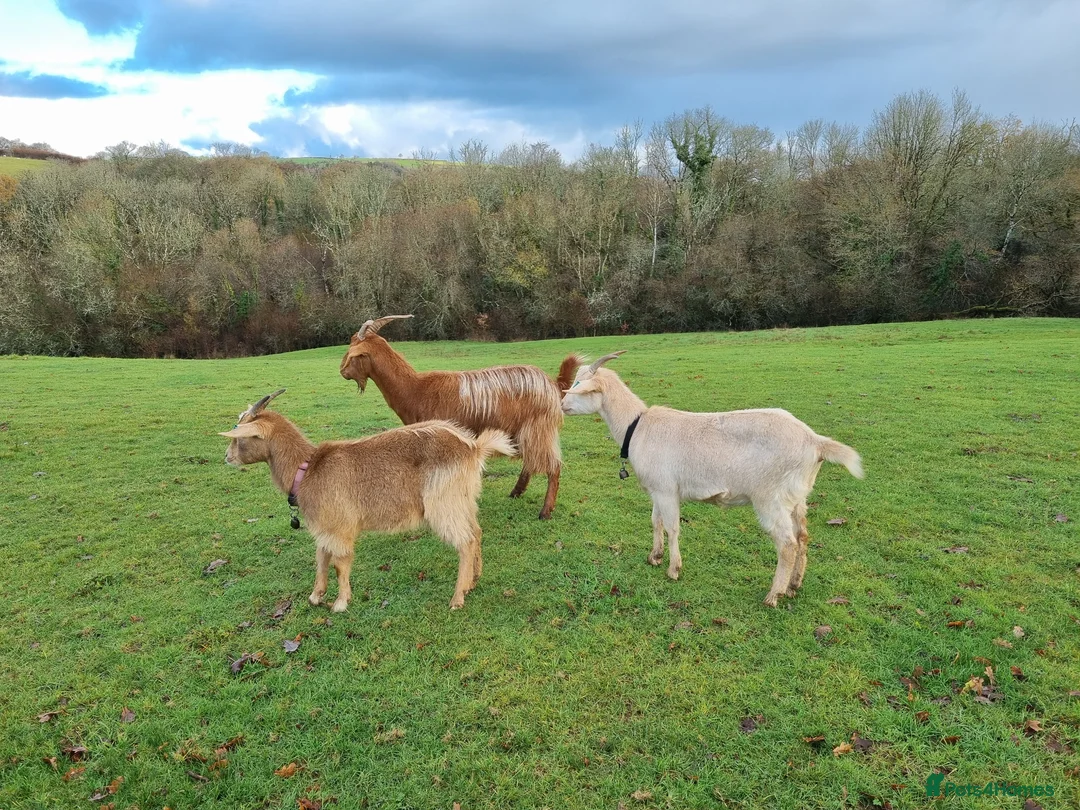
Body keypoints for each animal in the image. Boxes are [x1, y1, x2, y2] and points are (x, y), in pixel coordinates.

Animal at [220, 389, 515, 611]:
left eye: (241, 434)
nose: (226, 457)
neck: (308, 468)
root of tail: (473, 448)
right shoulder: (324, 529)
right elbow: (321, 559)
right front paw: (315, 596)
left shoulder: (340, 527)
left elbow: (340, 563)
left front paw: (340, 603)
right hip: (464, 500)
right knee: (476, 531)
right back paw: (473, 581)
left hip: (443, 504)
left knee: (465, 541)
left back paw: (457, 598)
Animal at [339, 315, 580, 520]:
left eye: (353, 350)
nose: (342, 371)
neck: (416, 389)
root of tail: (553, 383)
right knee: (531, 462)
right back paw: (516, 492)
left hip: (538, 429)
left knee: (553, 466)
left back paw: (545, 511)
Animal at [561, 353, 864, 607]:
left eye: (579, 384)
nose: (562, 404)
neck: (637, 426)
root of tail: (815, 441)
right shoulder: (658, 488)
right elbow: (656, 521)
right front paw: (654, 557)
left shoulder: (667, 489)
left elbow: (672, 527)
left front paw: (673, 569)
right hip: (797, 496)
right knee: (802, 537)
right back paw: (793, 585)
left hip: (770, 497)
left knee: (787, 544)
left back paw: (773, 595)